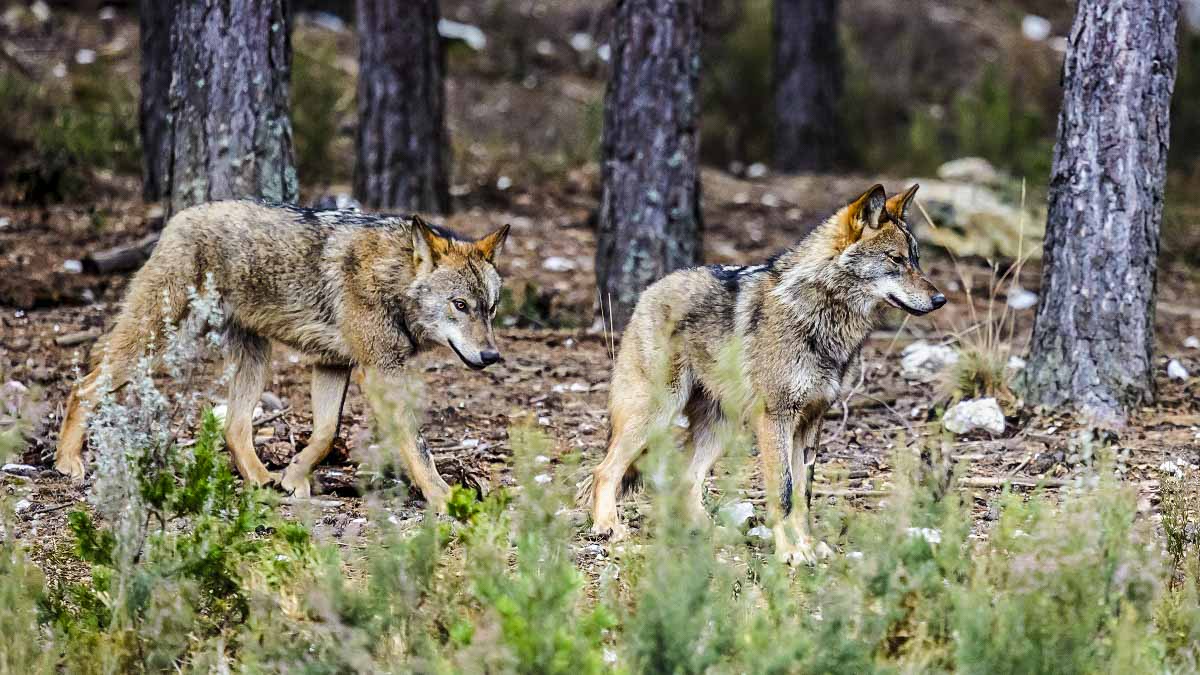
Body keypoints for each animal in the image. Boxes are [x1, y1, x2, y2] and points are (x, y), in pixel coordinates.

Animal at [55, 199, 511, 504]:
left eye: (490, 309)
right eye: (459, 305)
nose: (491, 357)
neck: (393, 279)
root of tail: (180, 216)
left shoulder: (332, 365)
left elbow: (326, 434)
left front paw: (293, 477)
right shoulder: (380, 371)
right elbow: (418, 447)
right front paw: (445, 498)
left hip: (254, 359)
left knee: (234, 427)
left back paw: (261, 479)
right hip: (159, 344)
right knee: (84, 385)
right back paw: (66, 462)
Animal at [585, 183, 940, 562]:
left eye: (916, 258)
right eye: (896, 259)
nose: (940, 300)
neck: (820, 316)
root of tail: (651, 289)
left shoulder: (811, 421)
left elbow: (803, 494)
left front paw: (808, 545)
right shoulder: (776, 417)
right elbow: (783, 492)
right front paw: (791, 552)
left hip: (722, 426)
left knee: (686, 478)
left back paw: (710, 533)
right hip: (658, 413)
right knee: (605, 469)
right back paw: (608, 526)